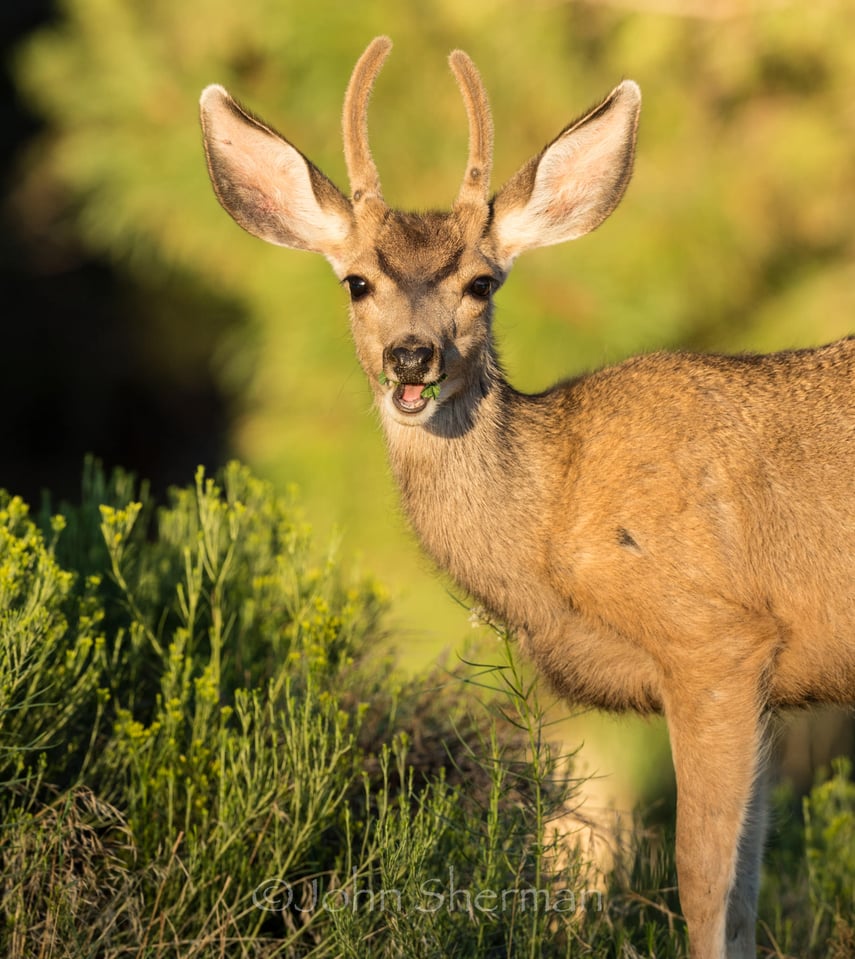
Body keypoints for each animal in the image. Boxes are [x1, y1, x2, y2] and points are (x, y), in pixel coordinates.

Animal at [201, 35, 855, 959]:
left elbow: (702, 879)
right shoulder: (761, 684)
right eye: (356, 282)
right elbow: (746, 890)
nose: (412, 356)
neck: (553, 513)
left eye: (481, 283)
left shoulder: (714, 635)